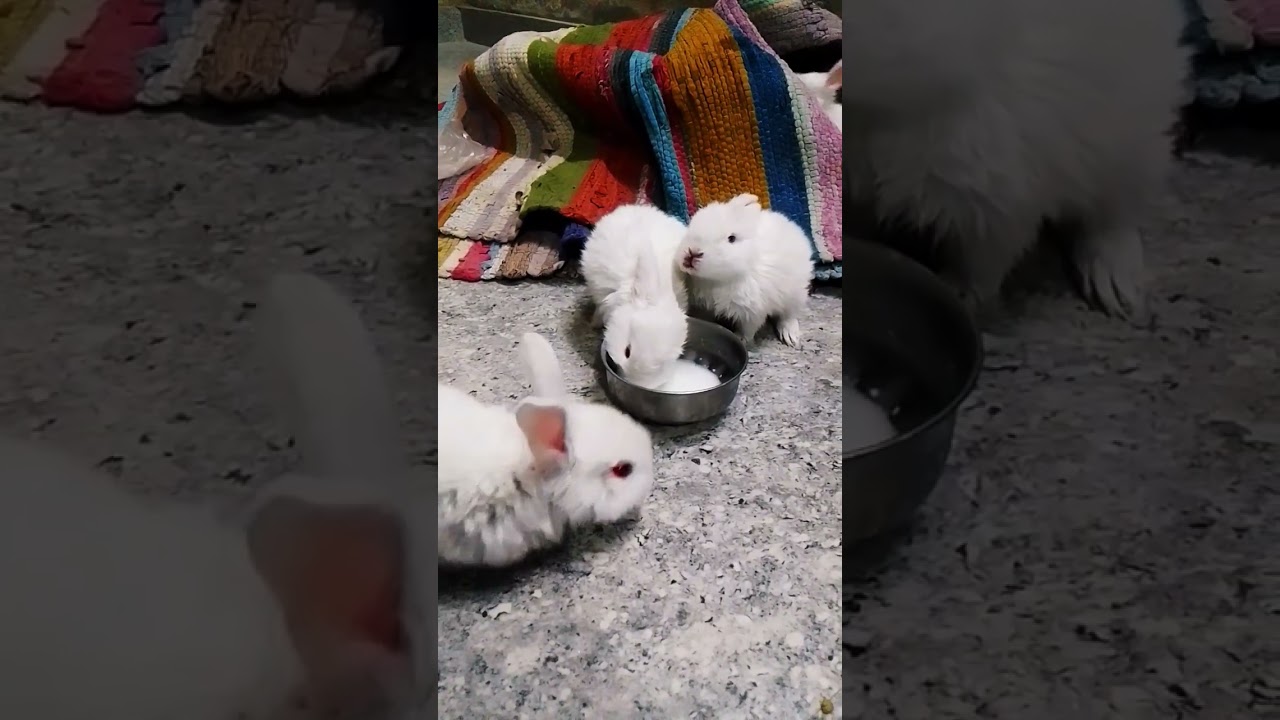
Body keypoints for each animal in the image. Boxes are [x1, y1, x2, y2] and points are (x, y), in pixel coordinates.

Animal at [677, 193, 815, 347]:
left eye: (732, 238)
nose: (692, 252)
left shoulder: (753, 312)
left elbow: (748, 329)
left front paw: (741, 339)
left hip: (794, 295)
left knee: (789, 315)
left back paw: (790, 337)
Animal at [839, 0, 1187, 318]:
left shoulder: (999, 198)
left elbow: (980, 262)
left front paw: (958, 295)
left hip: (1131, 151)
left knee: (1114, 217)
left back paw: (1114, 292)